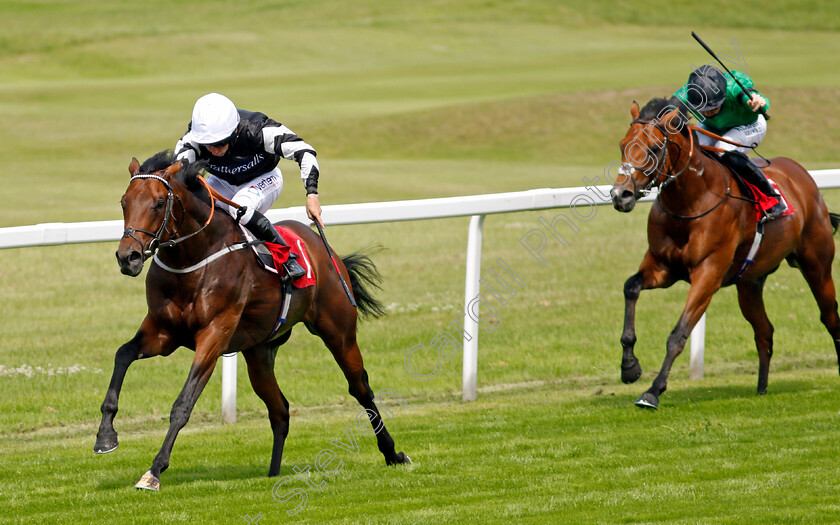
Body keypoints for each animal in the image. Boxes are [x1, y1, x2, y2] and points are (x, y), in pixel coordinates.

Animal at [95, 149, 410, 490]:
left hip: (339, 331)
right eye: (124, 202)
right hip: (259, 352)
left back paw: (392, 453)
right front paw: (105, 437)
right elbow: (122, 355)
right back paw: (273, 472)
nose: (128, 257)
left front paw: (154, 471)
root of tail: (322, 247)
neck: (193, 259)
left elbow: (183, 403)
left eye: (157, 202)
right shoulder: (162, 331)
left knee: (360, 388)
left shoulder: (214, 333)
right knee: (280, 409)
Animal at [612, 98, 840, 410]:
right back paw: (761, 388)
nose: (619, 195)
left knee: (830, 317)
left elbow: (679, 334)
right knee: (764, 331)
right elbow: (630, 287)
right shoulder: (661, 267)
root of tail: (803, 177)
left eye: (655, 148)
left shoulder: (708, 273)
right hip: (750, 283)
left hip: (817, 264)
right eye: (623, 145)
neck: (691, 200)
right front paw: (629, 367)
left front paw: (653, 391)